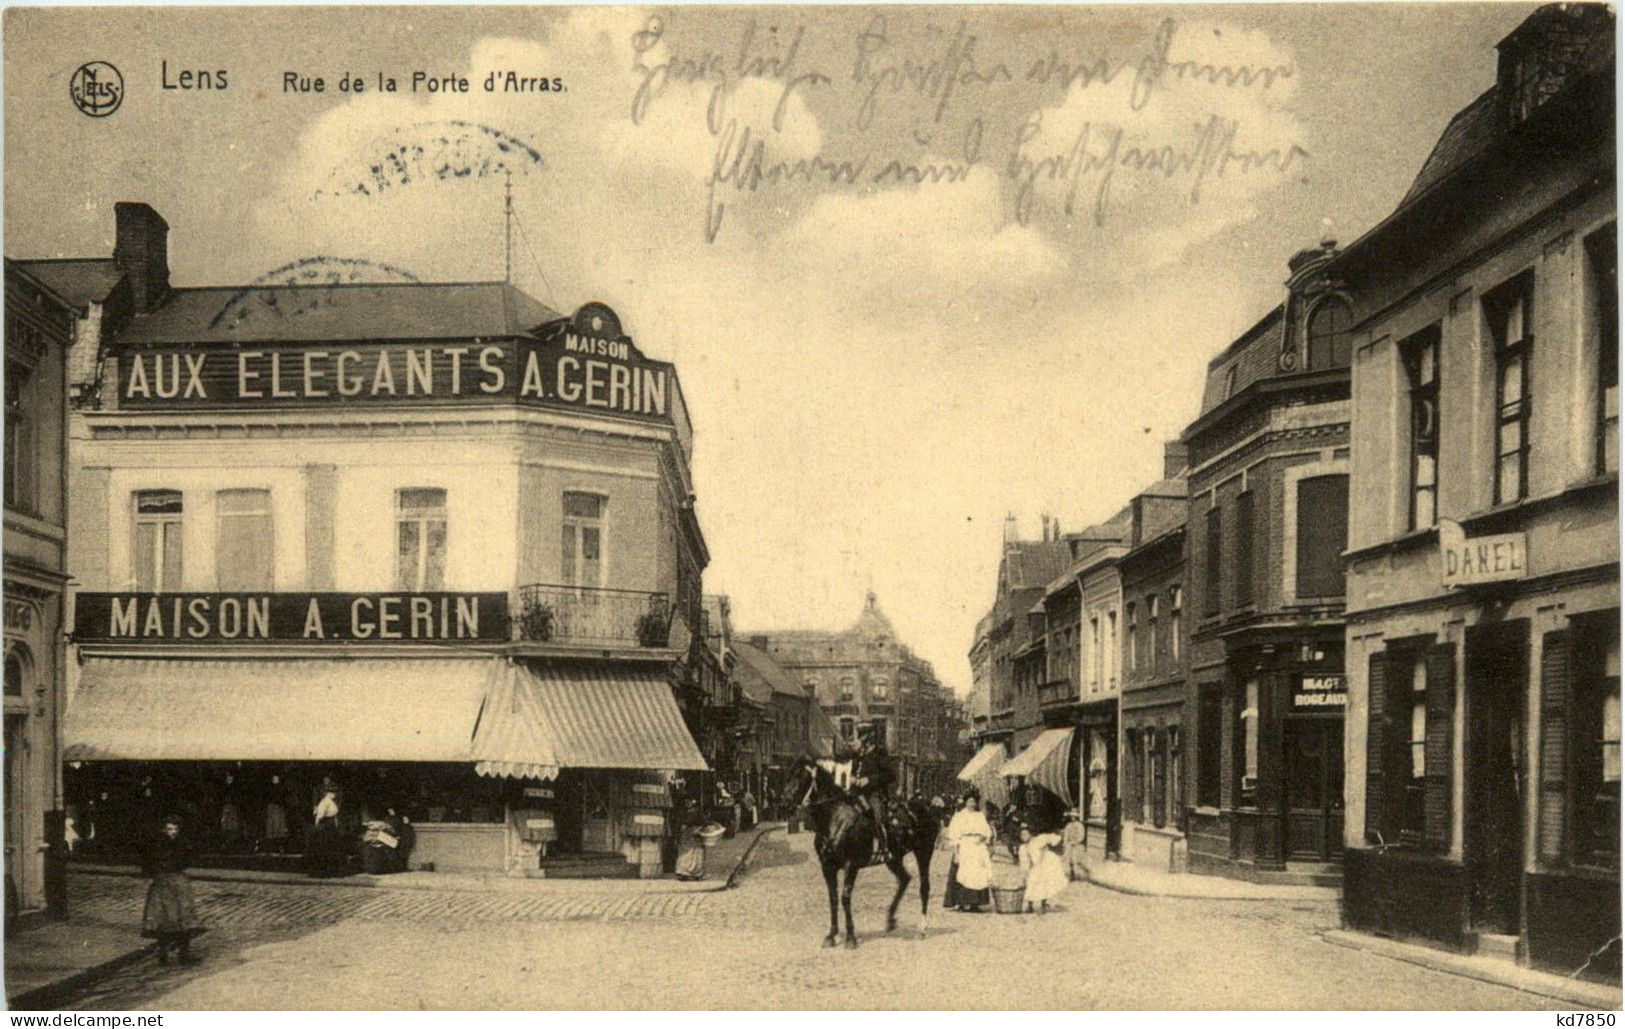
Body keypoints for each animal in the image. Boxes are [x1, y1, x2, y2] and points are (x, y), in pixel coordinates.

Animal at [783, 754, 942, 949]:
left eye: (801, 776)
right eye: (788, 774)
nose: (785, 803)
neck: (836, 819)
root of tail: (927, 808)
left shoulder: (851, 865)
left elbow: (845, 897)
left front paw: (851, 937)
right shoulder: (827, 866)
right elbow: (833, 899)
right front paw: (831, 935)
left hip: (924, 852)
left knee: (924, 887)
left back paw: (922, 929)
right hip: (893, 858)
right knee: (904, 879)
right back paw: (890, 920)